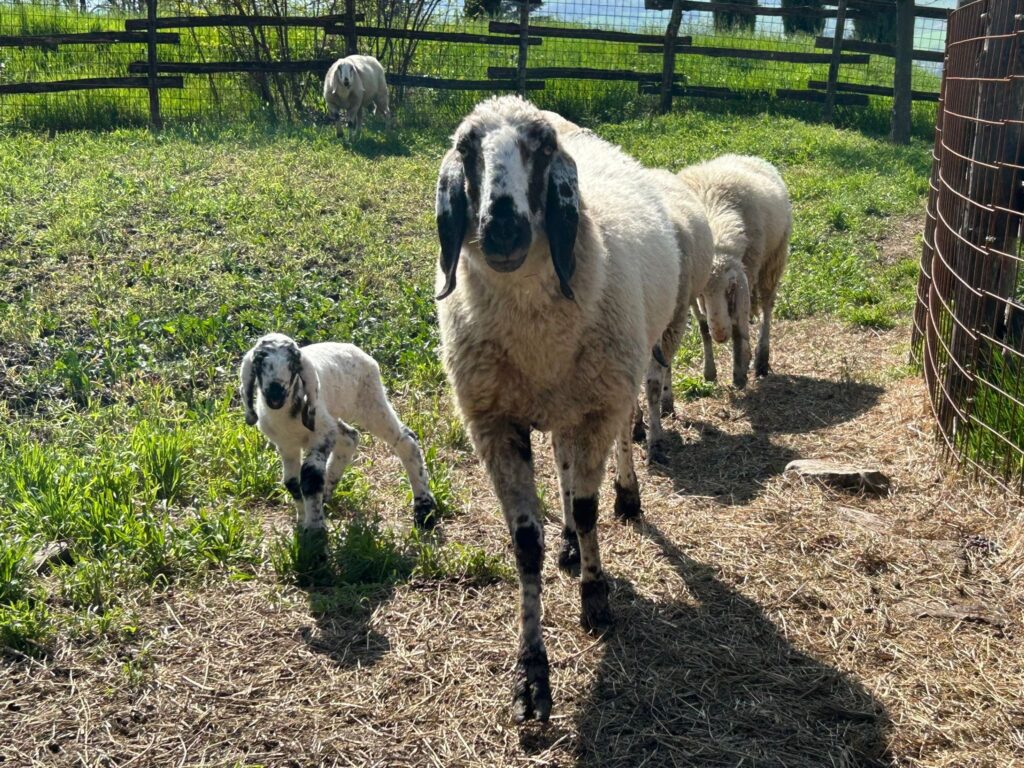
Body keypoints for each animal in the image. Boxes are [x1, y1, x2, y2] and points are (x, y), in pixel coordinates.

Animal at [239, 333, 437, 531]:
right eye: (258, 360)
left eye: (294, 361)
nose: (275, 394)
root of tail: (354, 348)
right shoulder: (286, 445)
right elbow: (292, 482)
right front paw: (302, 521)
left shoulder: (321, 434)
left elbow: (311, 476)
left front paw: (315, 530)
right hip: (335, 415)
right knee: (350, 437)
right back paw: (325, 494)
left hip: (370, 400)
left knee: (405, 439)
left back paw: (424, 510)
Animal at [434, 95, 688, 722]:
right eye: (467, 147)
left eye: (543, 148)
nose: (501, 226)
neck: (536, 338)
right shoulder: (495, 423)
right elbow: (526, 544)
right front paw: (531, 676)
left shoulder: (596, 406)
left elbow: (591, 509)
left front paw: (596, 599)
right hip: (559, 409)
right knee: (565, 465)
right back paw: (570, 542)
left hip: (614, 378)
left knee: (612, 447)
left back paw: (625, 497)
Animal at [677, 154, 792, 388]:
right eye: (701, 294)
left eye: (730, 288)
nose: (721, 336)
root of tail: (742, 156)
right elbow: (703, 327)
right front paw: (709, 372)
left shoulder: (747, 272)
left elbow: (739, 326)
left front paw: (739, 371)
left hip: (773, 261)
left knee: (767, 308)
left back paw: (761, 359)